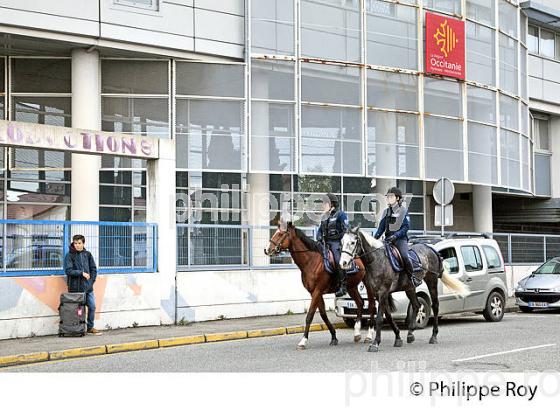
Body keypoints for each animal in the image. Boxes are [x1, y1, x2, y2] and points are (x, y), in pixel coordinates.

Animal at [266, 221, 376, 350]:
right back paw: (357, 333)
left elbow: (310, 315)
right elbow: (323, 314)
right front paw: (334, 337)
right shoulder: (314, 293)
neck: (311, 261)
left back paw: (369, 335)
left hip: (368, 286)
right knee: (360, 302)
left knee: (371, 305)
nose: (267, 249)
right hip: (351, 287)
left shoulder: (317, 291)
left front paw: (303, 341)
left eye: (281, 234)